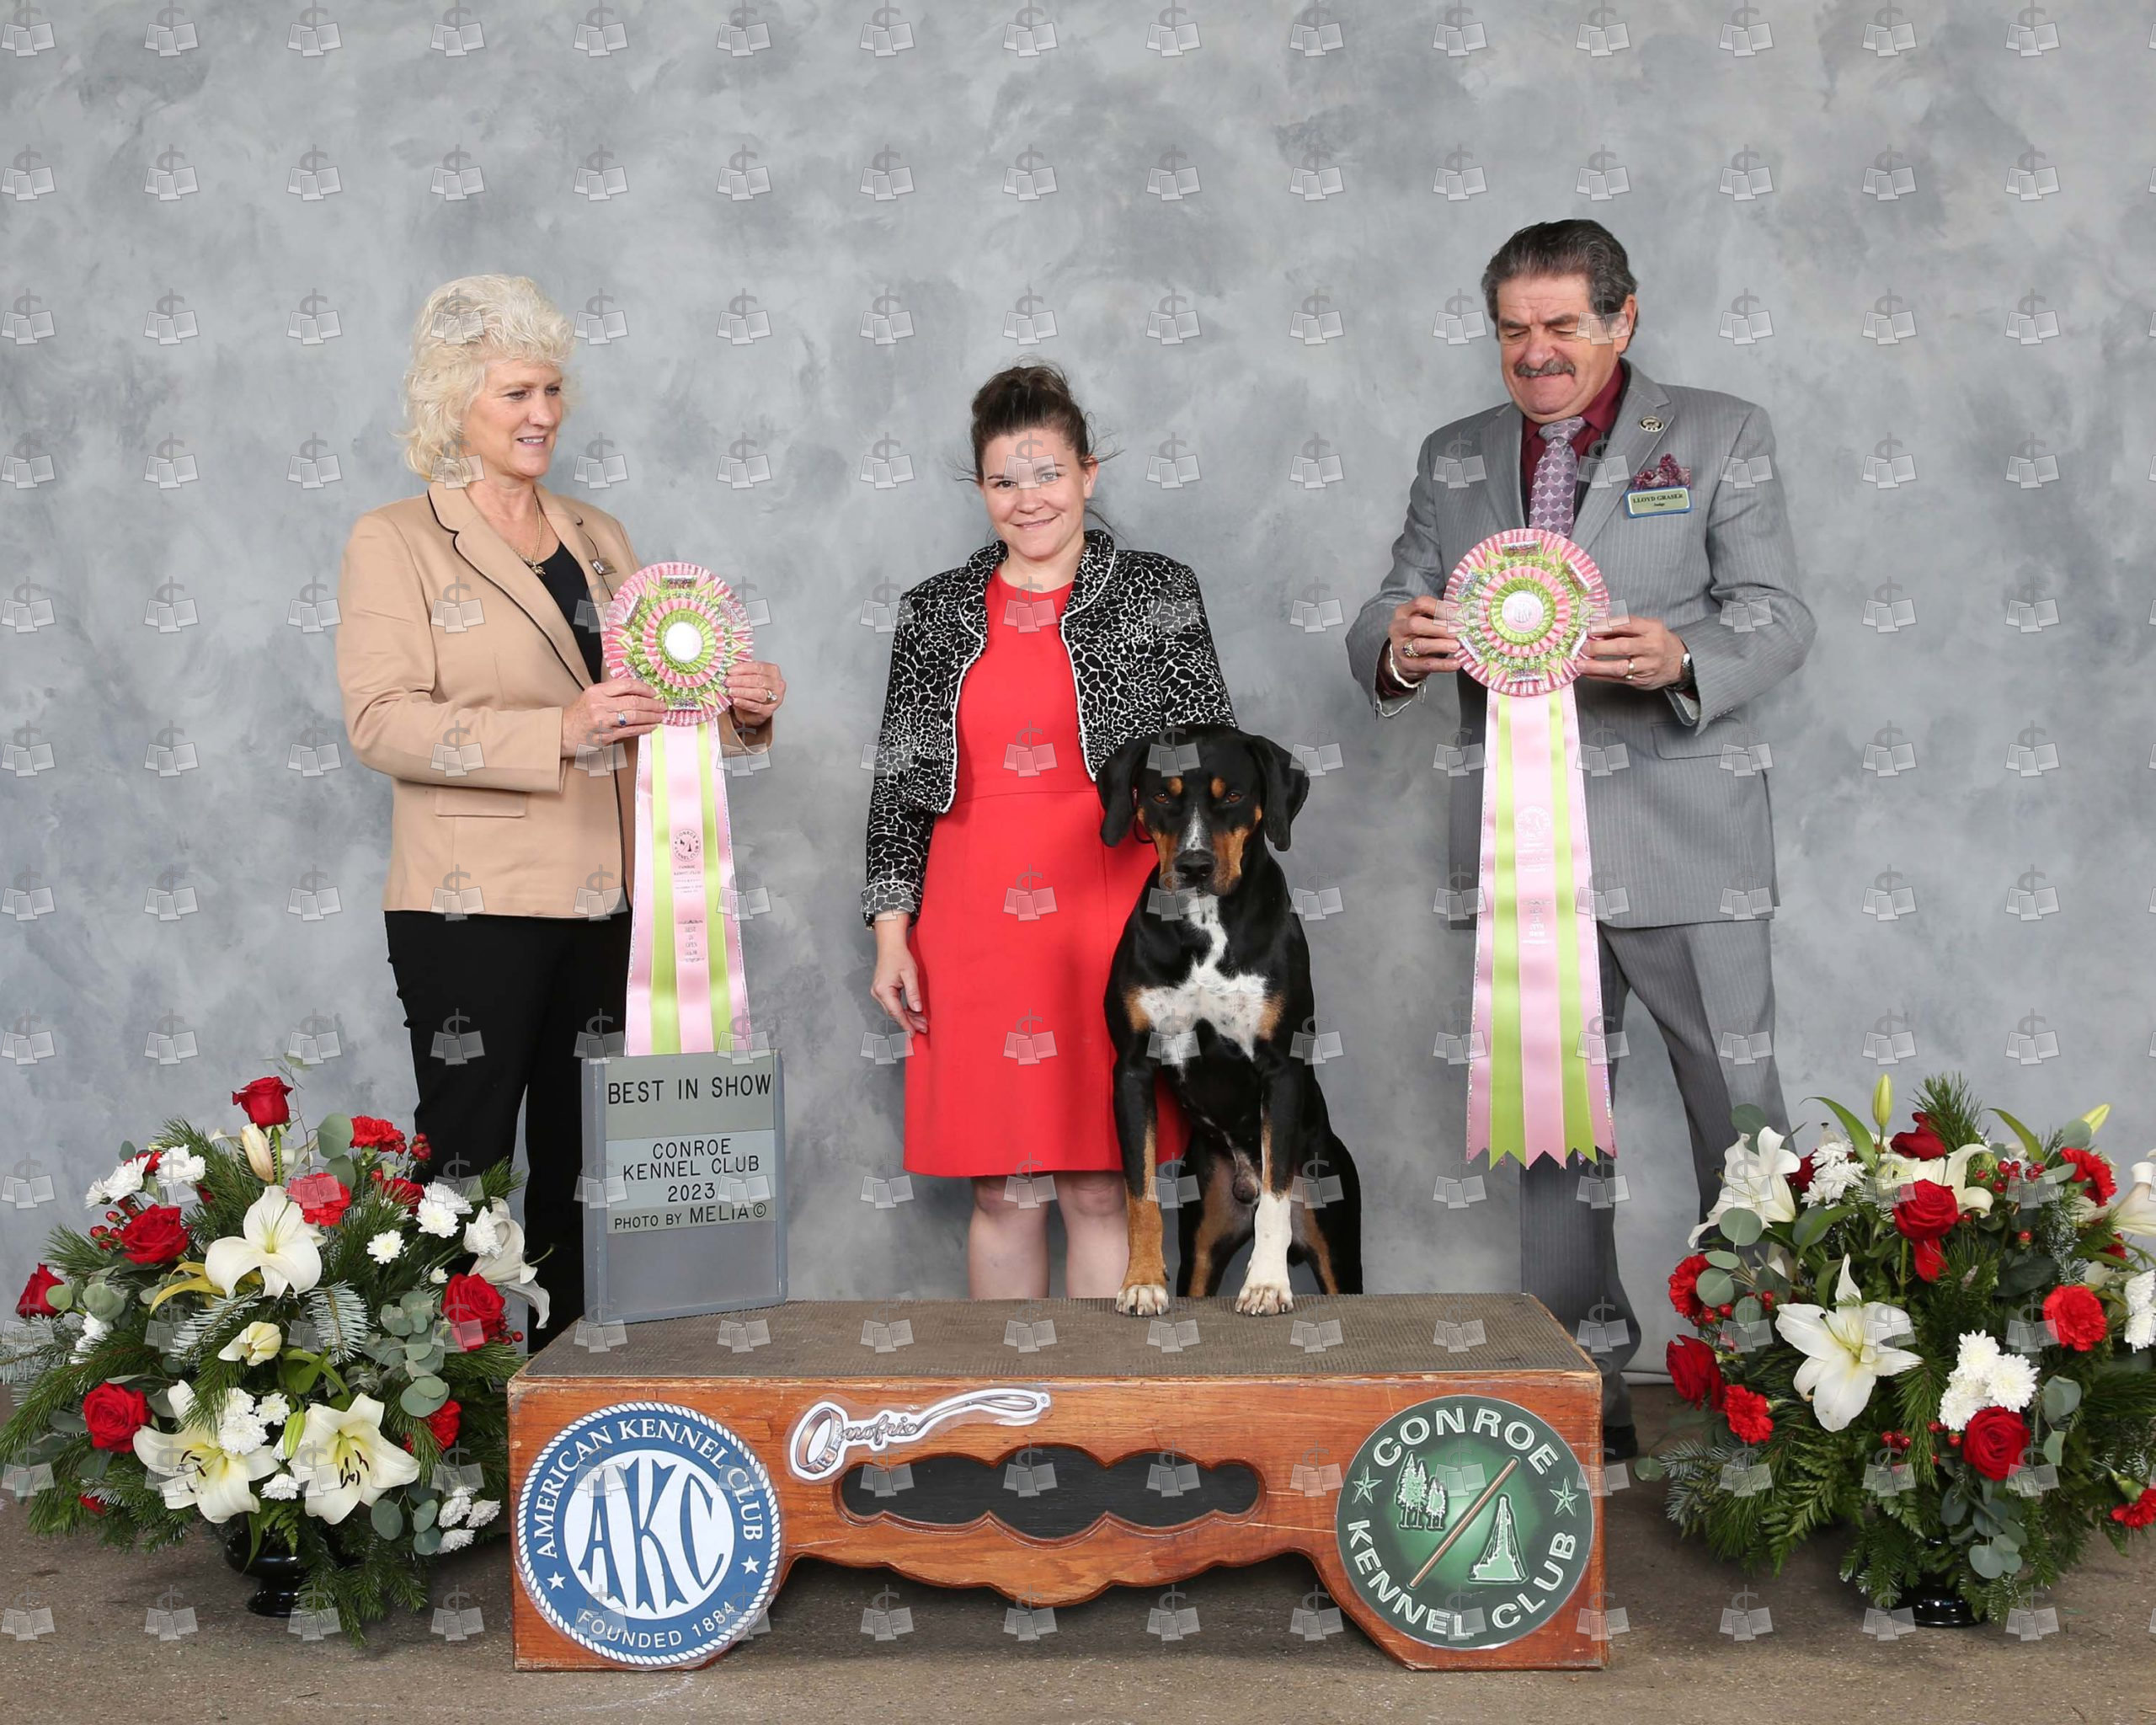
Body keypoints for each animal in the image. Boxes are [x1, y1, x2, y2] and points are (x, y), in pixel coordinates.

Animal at [1097, 723, 1363, 1316]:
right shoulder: (1132, 1069)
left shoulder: (1280, 1068)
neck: (1205, 925)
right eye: (1163, 795)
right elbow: (1139, 1192)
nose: (1194, 866)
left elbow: (1276, 1199)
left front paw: (1266, 1285)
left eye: (1235, 795)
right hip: (1204, 1236)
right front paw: (1140, 1282)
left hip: (1337, 1239)